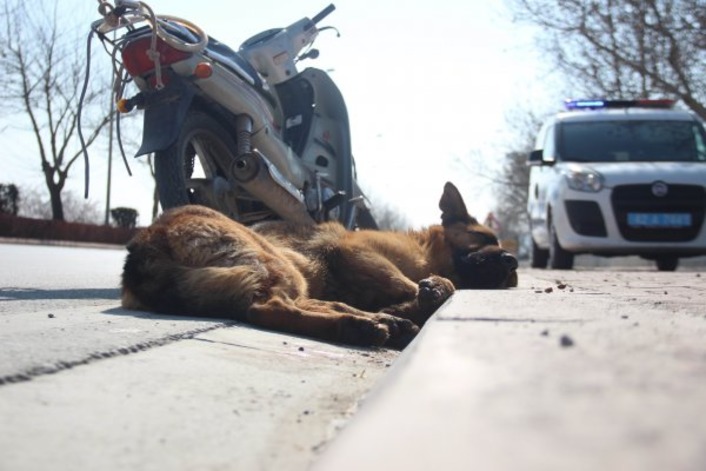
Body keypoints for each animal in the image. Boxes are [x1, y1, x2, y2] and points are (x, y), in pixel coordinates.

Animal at [121, 183, 516, 348]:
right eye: (484, 237)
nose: (513, 261)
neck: (427, 251)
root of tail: (142, 248)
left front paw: (408, 305)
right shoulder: (356, 251)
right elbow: (417, 283)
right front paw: (431, 291)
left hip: (288, 272)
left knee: (311, 303)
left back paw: (378, 321)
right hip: (277, 264)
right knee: (270, 308)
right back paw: (359, 327)